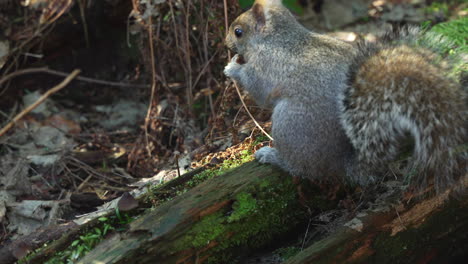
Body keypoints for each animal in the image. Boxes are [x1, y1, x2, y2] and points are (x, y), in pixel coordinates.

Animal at [225, 0, 466, 191]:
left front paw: (232, 68)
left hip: (290, 125)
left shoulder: (268, 64)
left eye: (238, 31)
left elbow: (259, 90)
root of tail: (342, 165)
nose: (226, 44)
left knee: (300, 168)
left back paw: (272, 156)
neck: (276, 38)